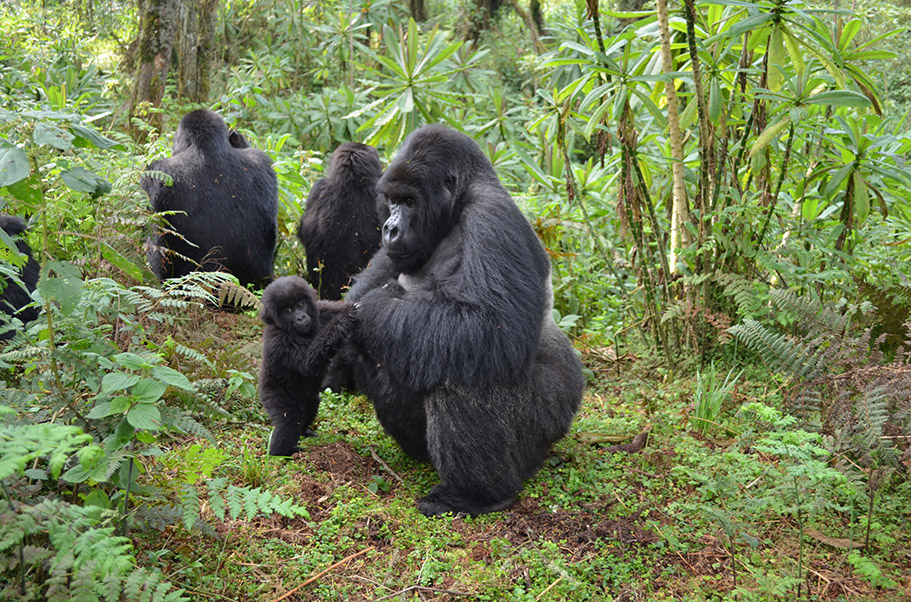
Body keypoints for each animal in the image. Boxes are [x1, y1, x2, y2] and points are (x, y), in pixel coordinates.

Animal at [260, 276, 356, 454]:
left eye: (300, 305)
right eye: (288, 311)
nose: (300, 318)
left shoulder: (322, 310)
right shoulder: (277, 340)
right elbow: (308, 362)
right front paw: (343, 321)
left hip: (307, 398)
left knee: (311, 405)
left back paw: (304, 432)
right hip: (271, 393)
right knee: (290, 418)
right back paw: (280, 453)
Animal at [342, 124, 584, 512]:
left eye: (410, 201)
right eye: (391, 201)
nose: (390, 228)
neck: (452, 214)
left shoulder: (491, 217)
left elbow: (492, 327)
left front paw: (371, 311)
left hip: (552, 418)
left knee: (465, 364)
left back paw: (476, 493)